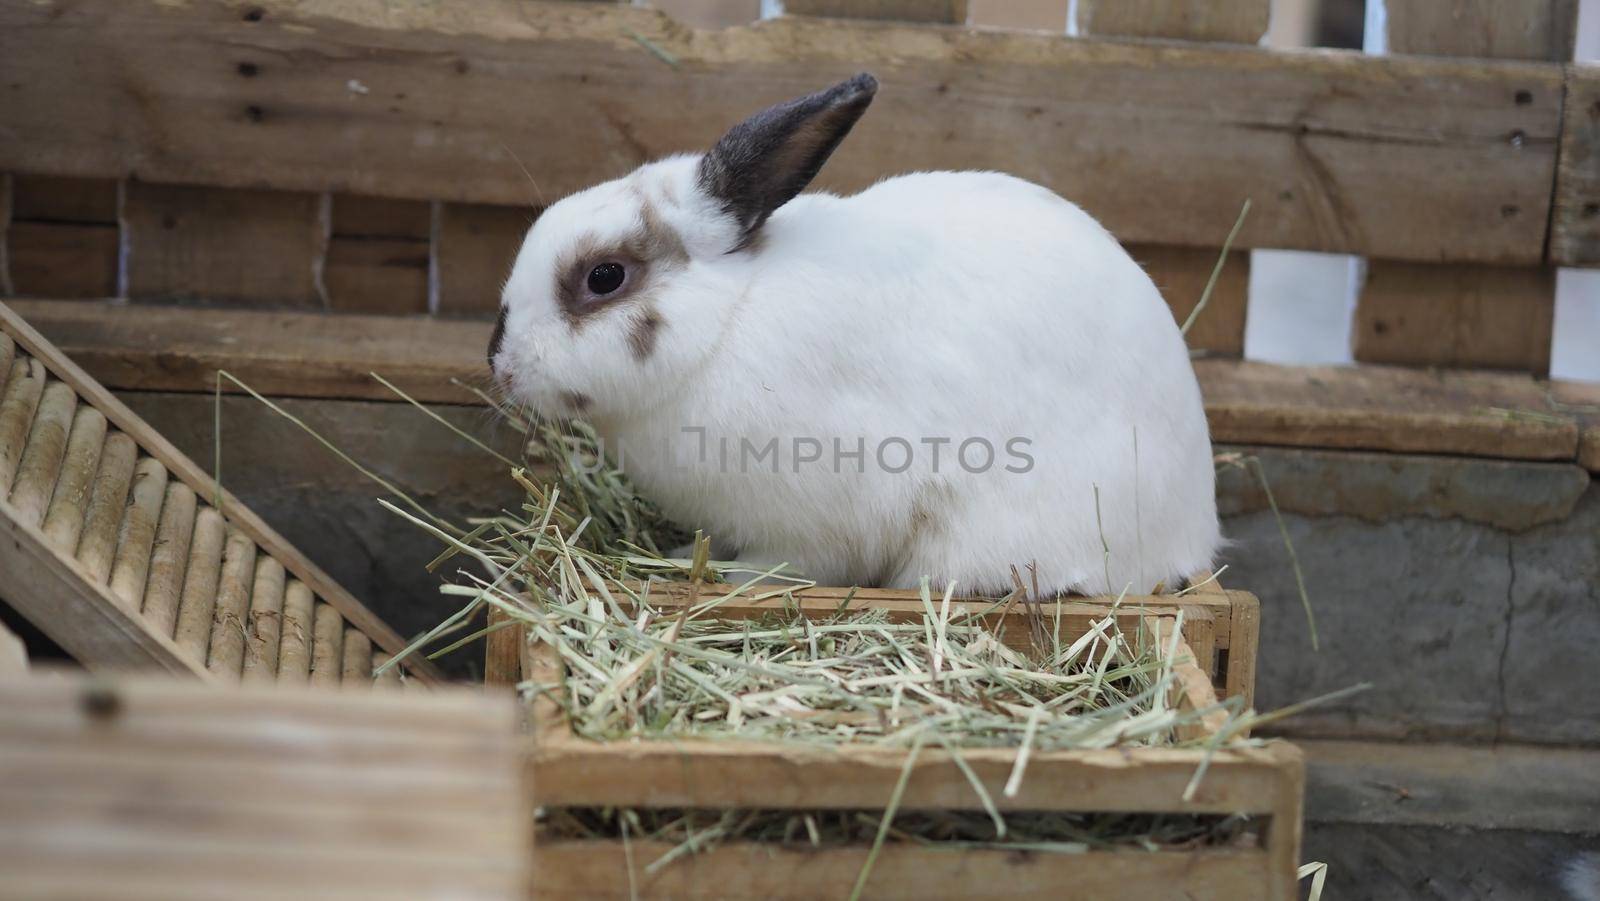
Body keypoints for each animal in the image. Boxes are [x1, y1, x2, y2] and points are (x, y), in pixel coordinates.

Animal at [486, 74, 1209, 595]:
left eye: (605, 276)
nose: (500, 363)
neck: (725, 323)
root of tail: (1191, 534)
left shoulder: (819, 514)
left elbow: (789, 563)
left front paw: (728, 575)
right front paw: (686, 552)